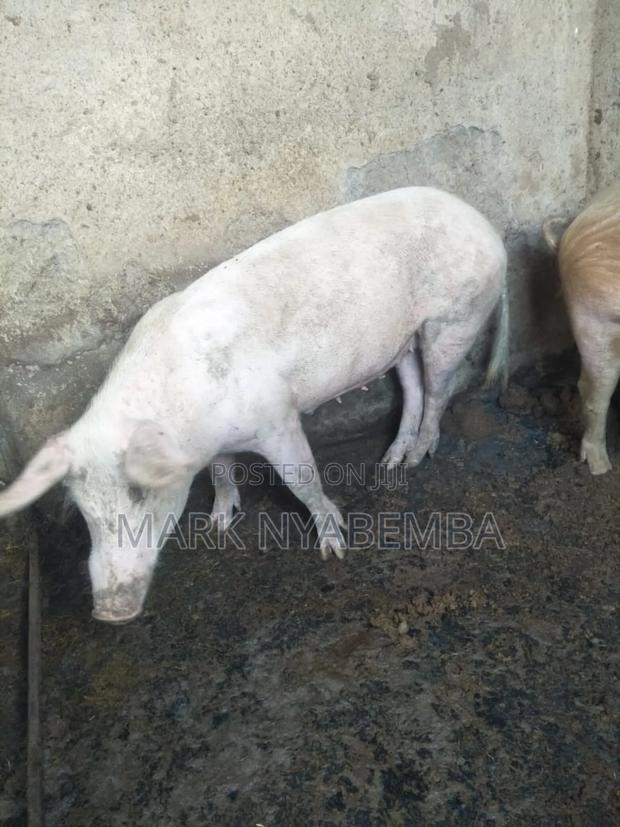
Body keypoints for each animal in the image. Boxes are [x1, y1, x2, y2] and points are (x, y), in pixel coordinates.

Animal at [0, 187, 508, 623]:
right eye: (85, 510)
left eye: (142, 493)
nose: (109, 612)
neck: (191, 423)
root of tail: (486, 226)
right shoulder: (216, 443)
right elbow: (222, 473)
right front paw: (217, 526)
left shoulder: (277, 420)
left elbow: (302, 480)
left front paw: (334, 547)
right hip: (403, 339)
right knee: (414, 385)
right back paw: (390, 463)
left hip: (457, 318)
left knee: (440, 388)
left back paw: (420, 458)